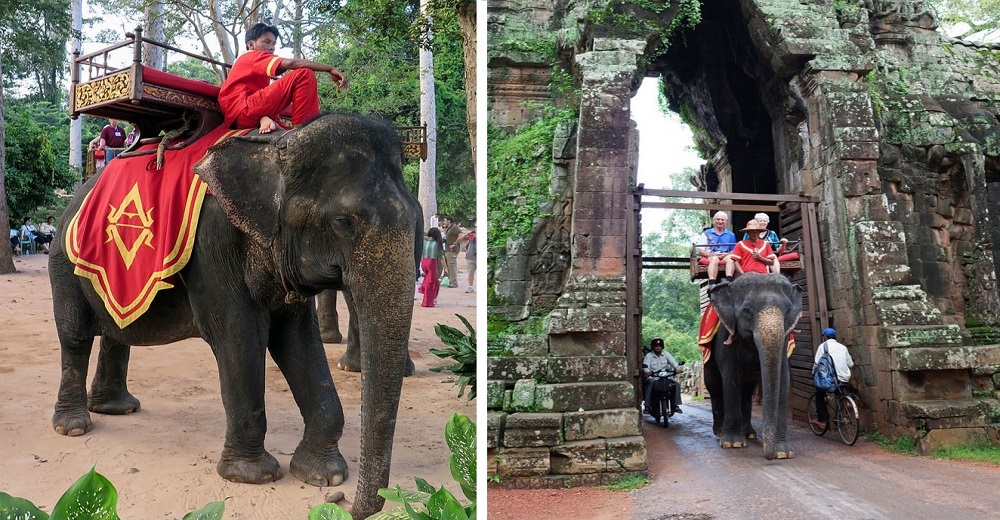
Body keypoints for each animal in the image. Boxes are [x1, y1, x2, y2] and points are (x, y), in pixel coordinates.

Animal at [47, 111, 418, 516]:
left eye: (417, 216)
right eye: (344, 223)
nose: (344, 505)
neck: (278, 145)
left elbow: (297, 340)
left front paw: (324, 474)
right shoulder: (214, 240)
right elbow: (239, 334)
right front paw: (252, 476)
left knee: (117, 333)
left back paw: (116, 409)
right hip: (63, 261)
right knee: (75, 335)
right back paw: (73, 426)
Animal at [704, 272, 804, 460]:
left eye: (788, 311)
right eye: (747, 311)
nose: (768, 457)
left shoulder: (785, 338)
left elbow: (783, 379)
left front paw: (783, 453)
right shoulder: (726, 335)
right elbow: (732, 378)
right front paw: (733, 444)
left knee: (747, 391)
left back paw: (749, 434)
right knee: (713, 385)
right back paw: (720, 432)